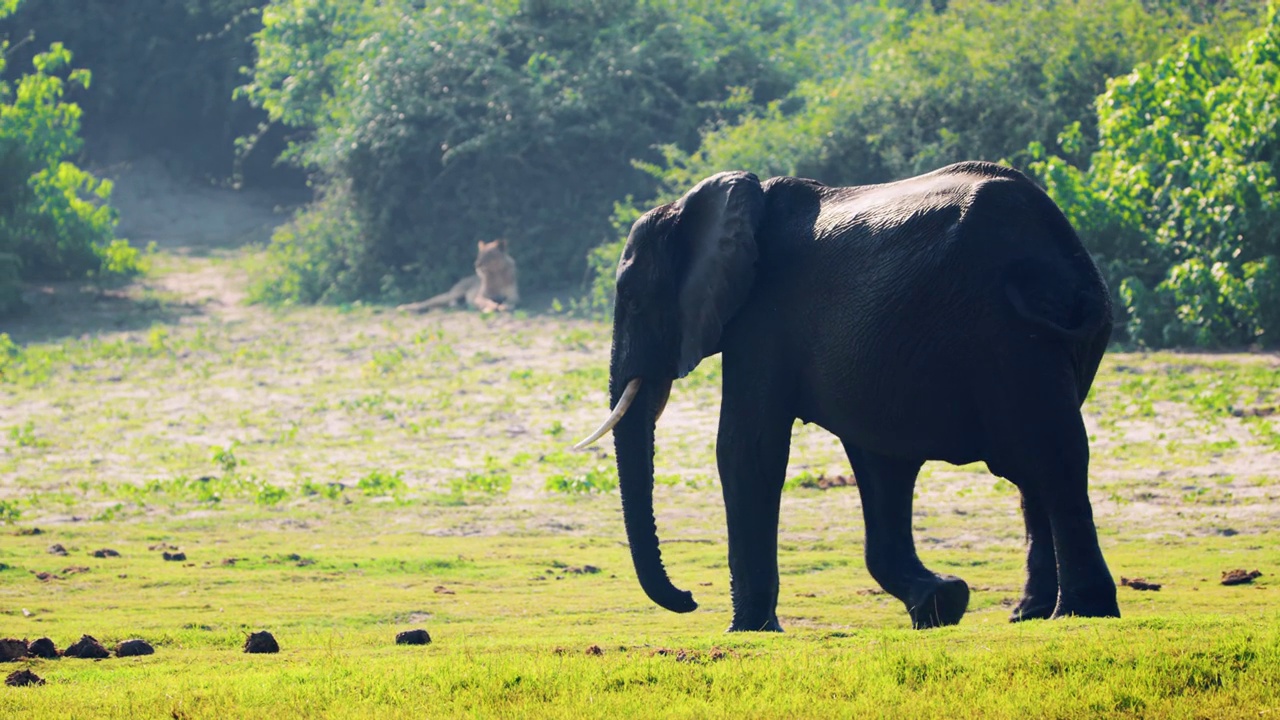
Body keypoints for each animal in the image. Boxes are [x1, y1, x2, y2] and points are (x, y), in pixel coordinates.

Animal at [576, 161, 1126, 627]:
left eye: (631, 298)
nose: (689, 599)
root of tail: (1064, 254)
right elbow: (881, 463)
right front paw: (942, 603)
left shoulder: (762, 319)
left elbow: (746, 449)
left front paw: (748, 631)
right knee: (1037, 464)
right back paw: (1032, 615)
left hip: (1003, 335)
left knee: (1049, 454)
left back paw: (1081, 613)